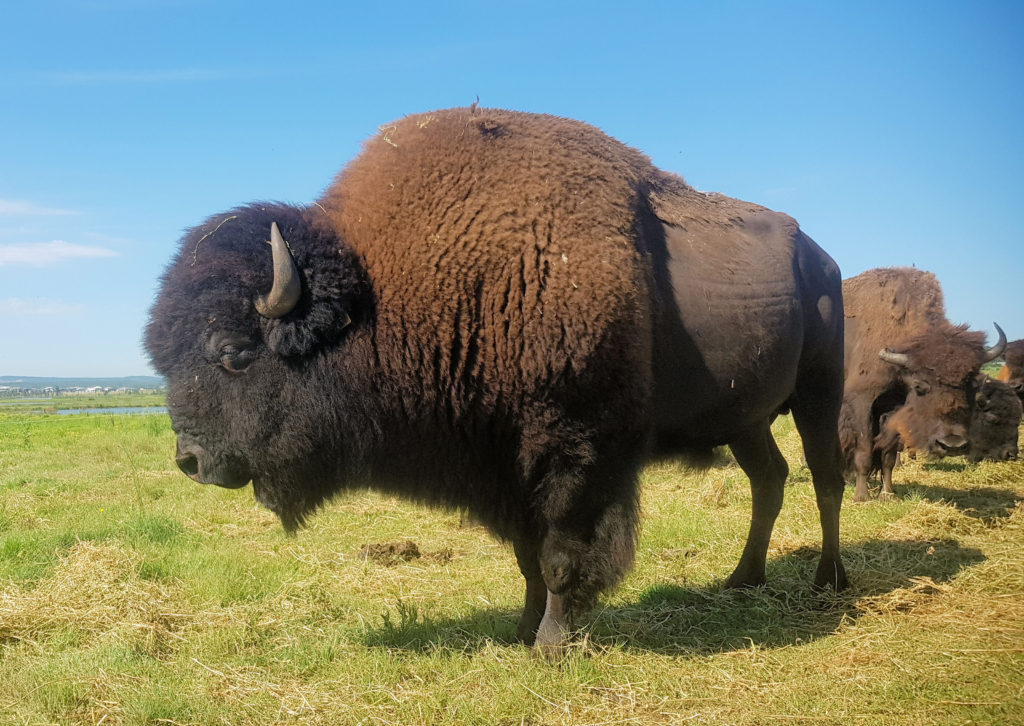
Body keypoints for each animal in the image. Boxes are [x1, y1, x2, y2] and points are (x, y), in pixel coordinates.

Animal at [144, 107, 847, 651]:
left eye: (234, 353)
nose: (190, 460)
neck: (382, 295)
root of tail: (821, 256)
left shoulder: (575, 452)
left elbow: (560, 556)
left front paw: (552, 645)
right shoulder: (502, 466)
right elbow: (527, 558)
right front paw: (520, 629)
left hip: (819, 393)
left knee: (825, 480)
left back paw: (828, 582)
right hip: (745, 418)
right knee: (770, 479)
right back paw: (743, 578)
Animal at [839, 266, 1007, 497]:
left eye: (970, 385)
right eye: (919, 386)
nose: (952, 444)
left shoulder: (894, 407)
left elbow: (888, 455)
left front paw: (888, 494)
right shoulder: (862, 400)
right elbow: (864, 451)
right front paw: (862, 496)